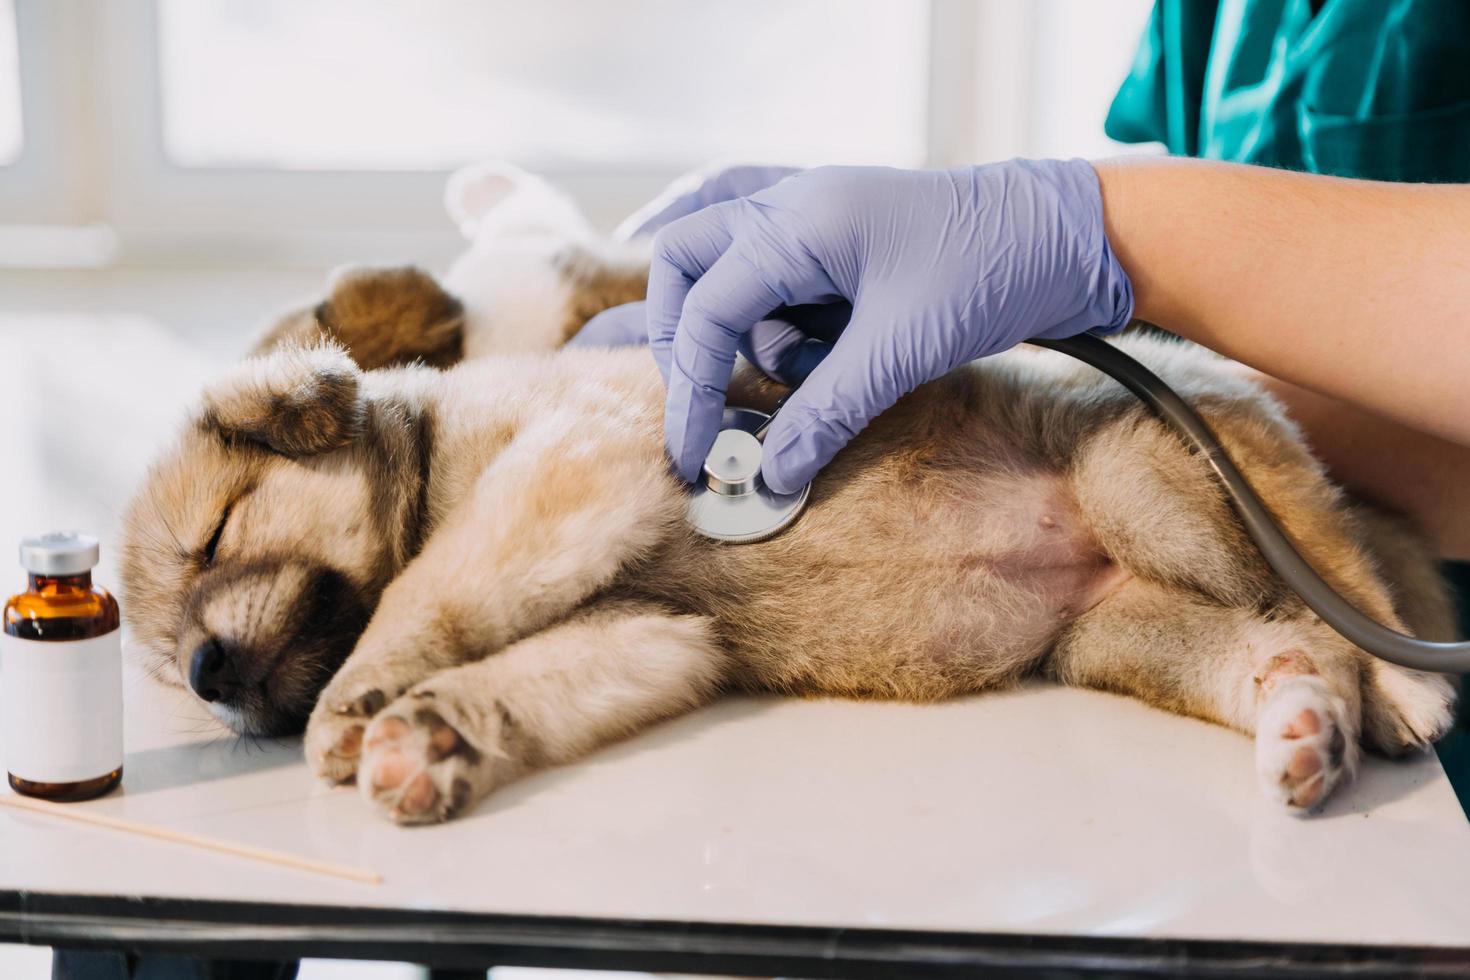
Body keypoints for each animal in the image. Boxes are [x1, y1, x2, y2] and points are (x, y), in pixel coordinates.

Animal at [117, 164, 1458, 822]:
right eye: (172, 645)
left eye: (217, 536)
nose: (210, 674)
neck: (441, 455)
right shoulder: (654, 631)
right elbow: (521, 675)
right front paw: (437, 735)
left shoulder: (570, 462)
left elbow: (427, 598)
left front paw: (366, 693)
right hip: (1115, 632)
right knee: (1282, 642)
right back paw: (1303, 722)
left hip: (1146, 479)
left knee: (1338, 587)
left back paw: (1400, 686)